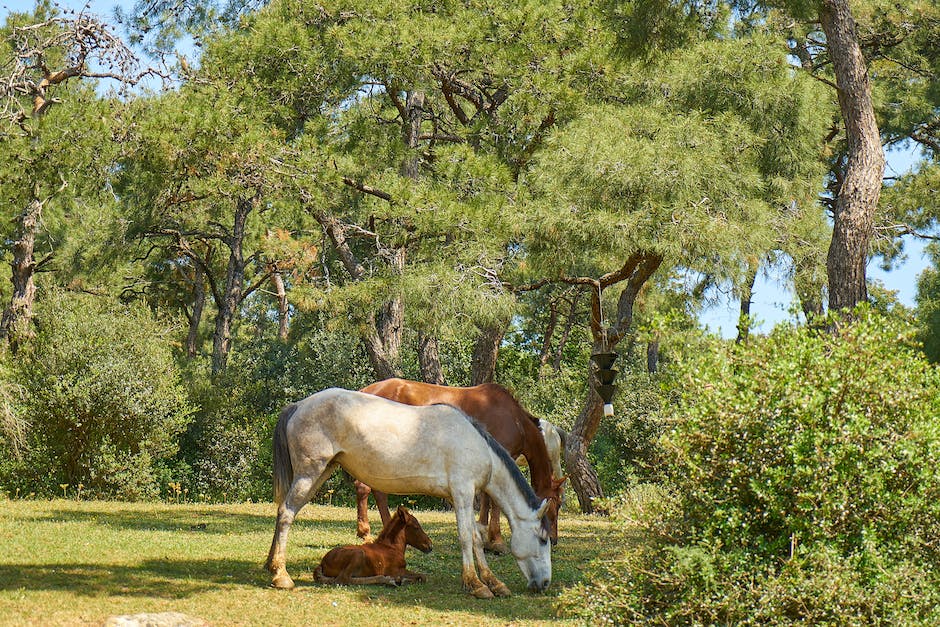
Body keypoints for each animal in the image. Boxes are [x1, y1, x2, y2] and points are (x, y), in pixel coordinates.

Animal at [262, 388, 552, 600]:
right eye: (543, 539)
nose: (545, 583)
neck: (477, 446)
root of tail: (298, 405)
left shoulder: (463, 497)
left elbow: (475, 538)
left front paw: (494, 583)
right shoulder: (463, 493)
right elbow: (466, 538)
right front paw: (476, 584)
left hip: (320, 473)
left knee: (283, 510)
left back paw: (270, 564)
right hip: (310, 473)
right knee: (286, 513)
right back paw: (281, 576)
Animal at [354, 380, 564, 552]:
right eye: (557, 504)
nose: (553, 540)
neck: (515, 420)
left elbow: (486, 499)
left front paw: (484, 535)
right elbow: (495, 501)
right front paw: (496, 541)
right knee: (367, 488)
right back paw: (368, 531)